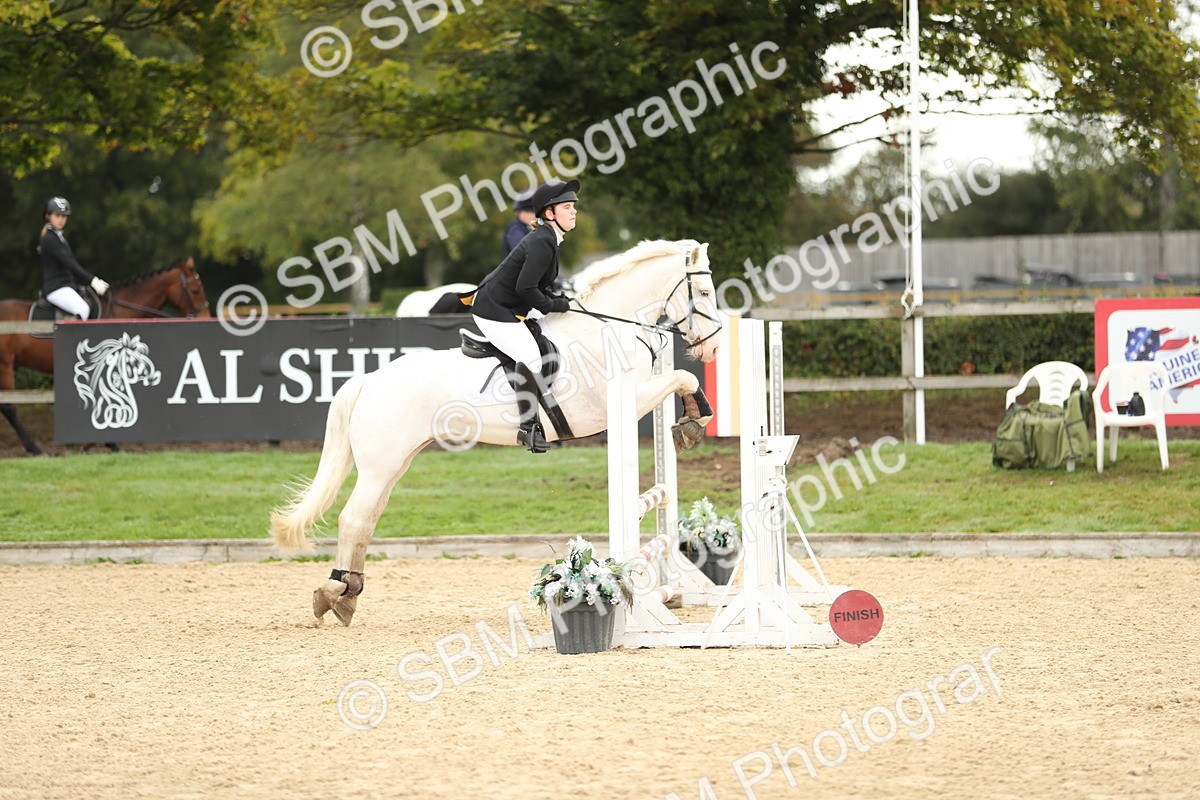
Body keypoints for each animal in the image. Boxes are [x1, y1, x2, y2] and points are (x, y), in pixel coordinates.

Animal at [0, 257, 211, 455]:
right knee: (9, 407)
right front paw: (108, 442)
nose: (207, 319)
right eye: (195, 291)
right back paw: (35, 449)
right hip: (5, 366)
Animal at [270, 239, 723, 626]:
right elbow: (683, 377)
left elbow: (682, 379)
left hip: (395, 463)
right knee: (353, 519)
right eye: (702, 292)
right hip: (381, 465)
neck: (605, 329)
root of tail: (368, 380)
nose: (714, 348)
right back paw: (335, 592)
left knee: (366, 521)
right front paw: (692, 423)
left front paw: (689, 423)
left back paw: (348, 593)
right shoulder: (625, 400)